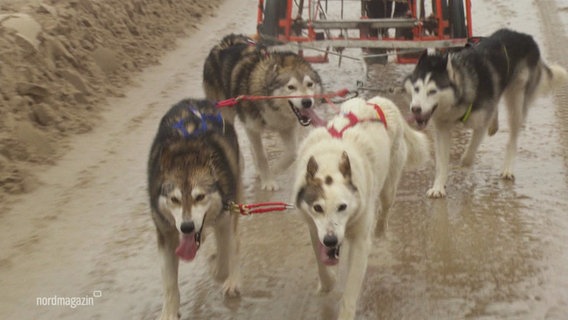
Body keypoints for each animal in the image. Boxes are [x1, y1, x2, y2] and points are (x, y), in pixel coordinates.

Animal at [148, 99, 241, 318]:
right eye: (174, 199)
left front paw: (224, 274)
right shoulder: (165, 234)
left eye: (200, 197)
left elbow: (227, 250)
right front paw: (169, 312)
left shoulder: (225, 217)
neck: (186, 151)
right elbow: (169, 284)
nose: (187, 227)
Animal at [203, 34, 324, 191]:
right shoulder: (252, 127)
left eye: (310, 84)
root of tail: (226, 41)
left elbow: (292, 153)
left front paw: (275, 170)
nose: (307, 102)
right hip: (226, 115)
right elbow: (262, 156)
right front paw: (268, 180)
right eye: (291, 87)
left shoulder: (286, 128)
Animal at [290, 95, 428, 320]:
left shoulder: (360, 241)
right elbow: (320, 260)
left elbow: (351, 287)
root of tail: (382, 102)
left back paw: (380, 231)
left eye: (343, 206)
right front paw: (327, 284)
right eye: (317, 208)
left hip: (389, 185)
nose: (331, 240)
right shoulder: (314, 228)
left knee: (385, 209)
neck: (330, 160)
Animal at [404, 28, 568, 198]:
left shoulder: (480, 124)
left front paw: (463, 167)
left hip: (517, 100)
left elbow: (468, 156)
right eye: (416, 89)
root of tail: (526, 37)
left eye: (432, 91)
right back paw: (494, 125)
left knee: (513, 137)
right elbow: (441, 163)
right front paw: (438, 186)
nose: (415, 109)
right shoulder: (442, 128)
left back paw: (507, 167)